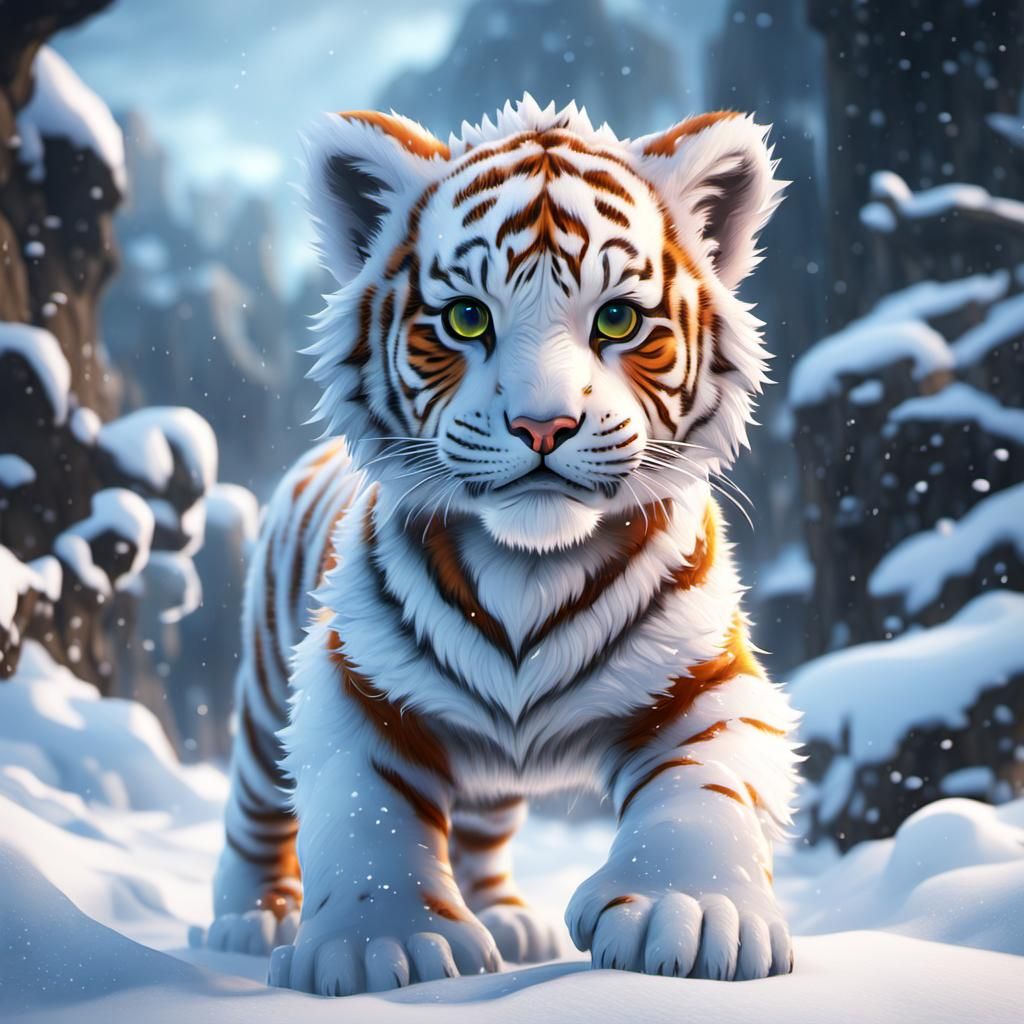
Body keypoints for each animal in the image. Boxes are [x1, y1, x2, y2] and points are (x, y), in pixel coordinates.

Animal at [205, 94, 799, 995]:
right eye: (466, 318)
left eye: (617, 318)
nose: (542, 425)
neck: (529, 565)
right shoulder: (355, 678)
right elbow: (369, 806)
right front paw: (380, 945)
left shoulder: (705, 674)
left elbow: (704, 784)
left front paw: (689, 918)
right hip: (267, 682)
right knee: (255, 806)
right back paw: (250, 919)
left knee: (482, 825)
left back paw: (511, 922)